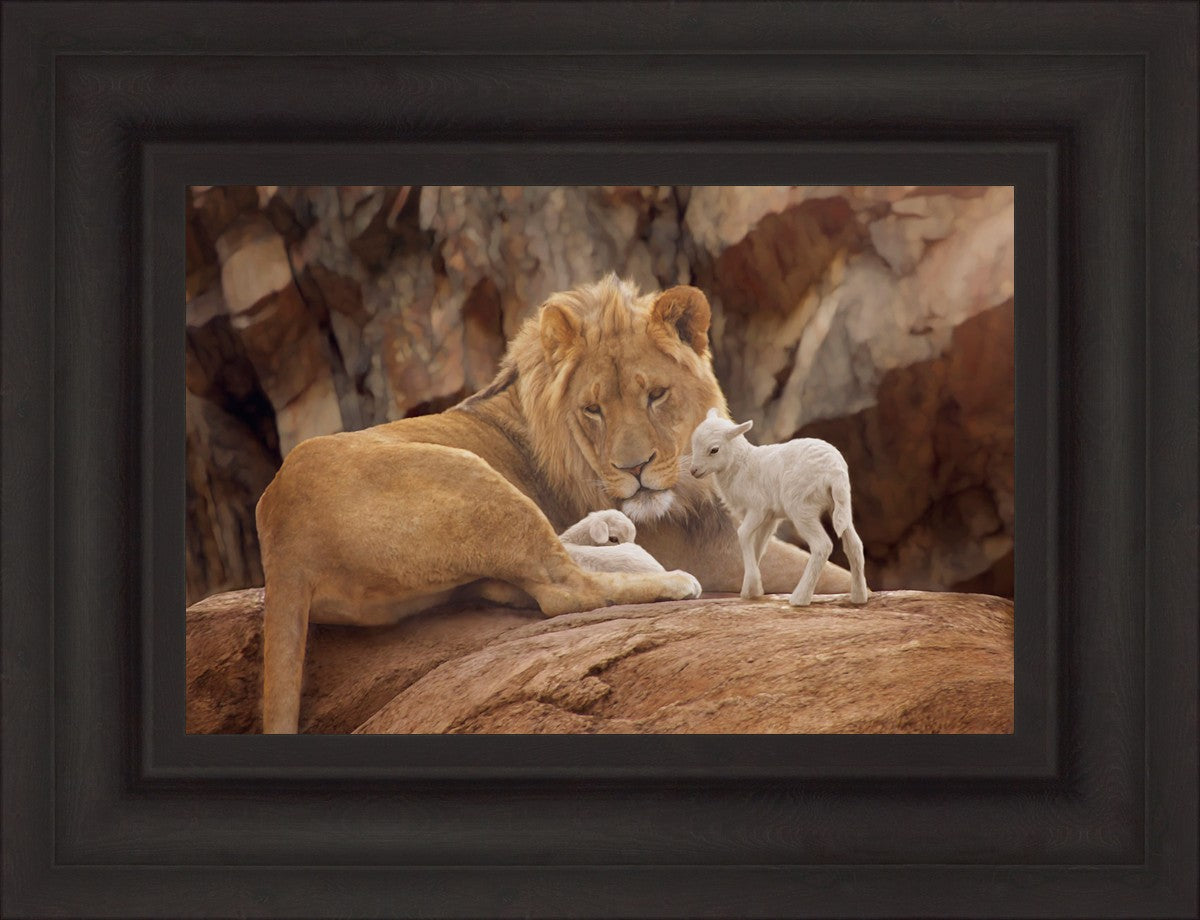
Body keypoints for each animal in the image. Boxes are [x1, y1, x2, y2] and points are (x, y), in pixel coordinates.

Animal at [688, 408, 869, 606]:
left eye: (714, 450)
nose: (693, 471)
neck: (741, 465)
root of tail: (834, 471)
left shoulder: (758, 508)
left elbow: (743, 534)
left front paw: (752, 586)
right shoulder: (769, 517)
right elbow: (758, 545)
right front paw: (751, 589)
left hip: (801, 507)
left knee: (822, 545)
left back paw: (799, 598)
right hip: (841, 505)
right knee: (854, 545)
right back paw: (859, 597)